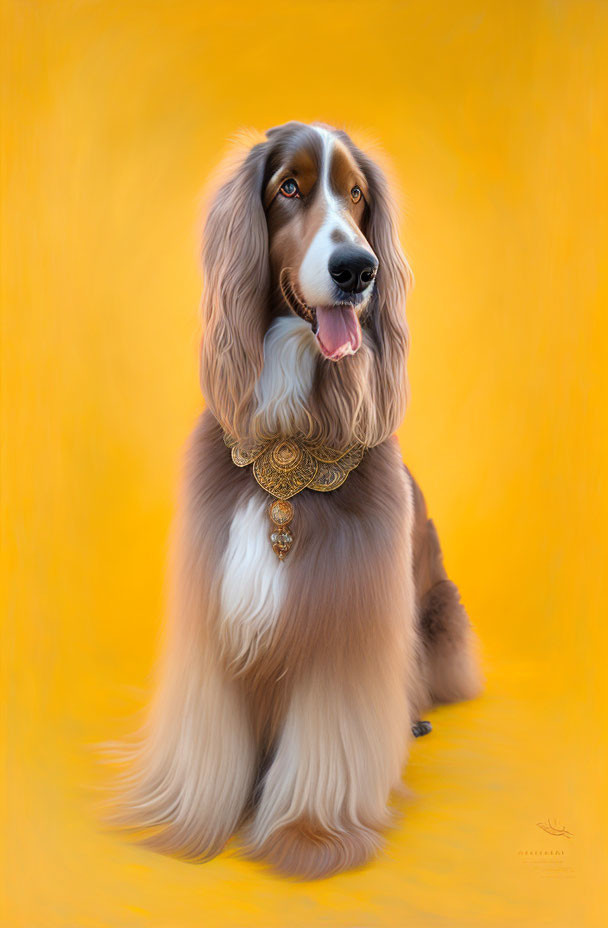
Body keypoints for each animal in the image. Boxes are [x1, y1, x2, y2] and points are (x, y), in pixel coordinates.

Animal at [114, 121, 482, 876]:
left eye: (358, 194)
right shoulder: (214, 596)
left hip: (437, 611)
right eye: (289, 187)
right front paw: (189, 821)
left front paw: (308, 838)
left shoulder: (348, 612)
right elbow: (209, 733)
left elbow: (329, 734)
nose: (357, 268)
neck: (289, 436)